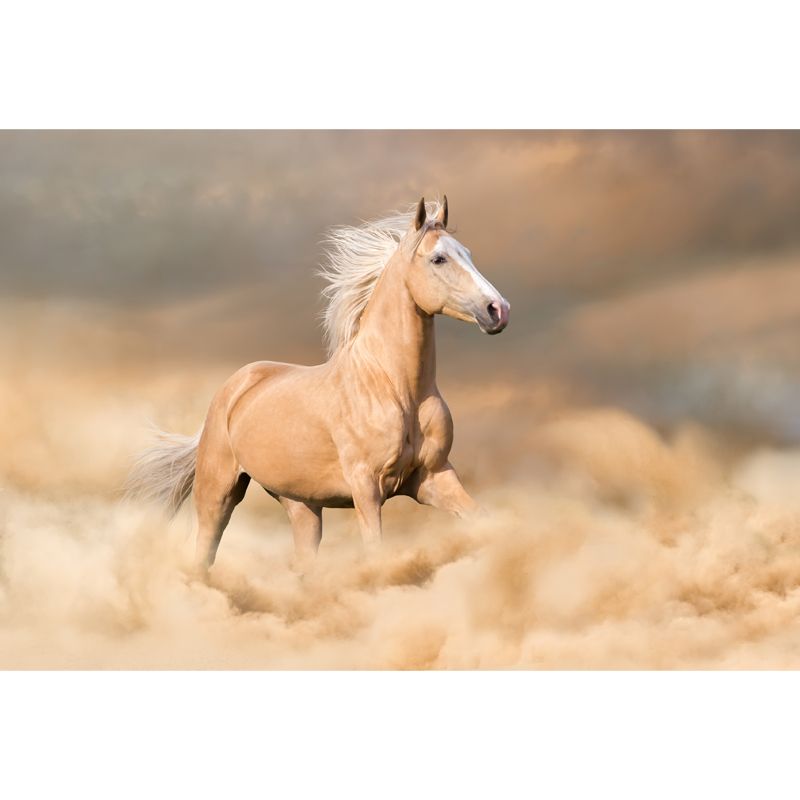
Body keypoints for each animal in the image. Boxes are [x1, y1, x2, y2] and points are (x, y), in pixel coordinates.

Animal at [127, 197, 510, 571]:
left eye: (468, 253)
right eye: (438, 258)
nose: (498, 310)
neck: (395, 388)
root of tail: (234, 387)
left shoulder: (433, 477)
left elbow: (485, 521)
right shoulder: (367, 487)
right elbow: (376, 553)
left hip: (301, 504)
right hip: (218, 493)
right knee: (204, 554)